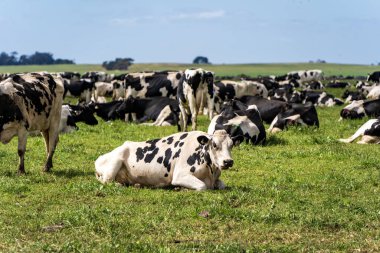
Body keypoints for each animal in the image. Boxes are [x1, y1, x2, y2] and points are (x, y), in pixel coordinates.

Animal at [95, 130, 243, 190]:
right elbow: (202, 186)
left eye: (231, 145)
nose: (228, 161)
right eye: (214, 145)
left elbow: (222, 185)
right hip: (115, 162)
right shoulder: (180, 175)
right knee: (106, 181)